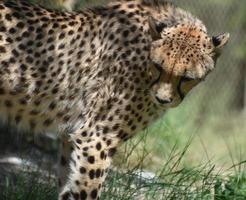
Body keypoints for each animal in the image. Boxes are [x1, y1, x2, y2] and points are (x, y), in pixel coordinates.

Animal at [0, 0, 230, 199]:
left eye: (187, 78)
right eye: (159, 66)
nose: (162, 99)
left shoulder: (74, 135)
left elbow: (68, 184)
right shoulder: (97, 138)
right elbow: (87, 190)